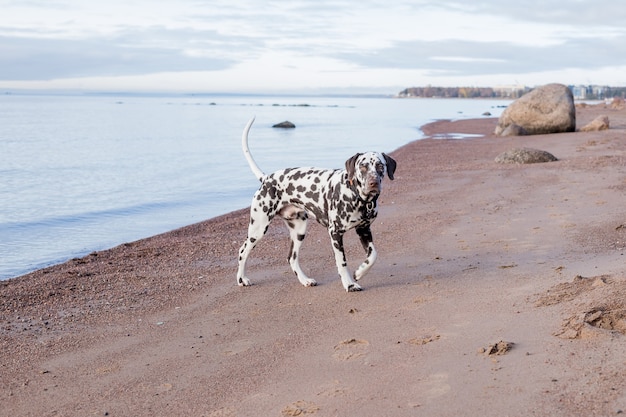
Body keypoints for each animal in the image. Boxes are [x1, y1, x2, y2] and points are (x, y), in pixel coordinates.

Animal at [234, 117, 394, 290]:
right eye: (362, 167)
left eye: (380, 166)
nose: (373, 183)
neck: (358, 197)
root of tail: (267, 179)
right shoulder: (335, 233)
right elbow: (342, 262)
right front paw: (349, 284)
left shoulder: (364, 230)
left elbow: (373, 256)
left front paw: (359, 272)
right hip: (258, 228)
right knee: (242, 251)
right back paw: (241, 279)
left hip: (299, 230)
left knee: (292, 258)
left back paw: (305, 280)